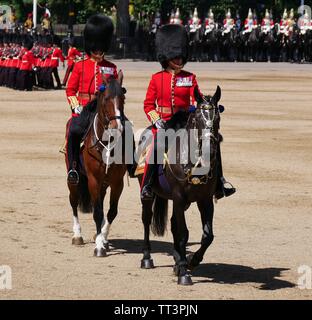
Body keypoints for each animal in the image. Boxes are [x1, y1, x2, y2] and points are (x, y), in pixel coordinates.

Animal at [67, 72, 128, 258]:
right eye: (106, 98)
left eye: (123, 98)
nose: (118, 127)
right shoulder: (93, 179)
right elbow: (98, 212)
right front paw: (100, 246)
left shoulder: (117, 182)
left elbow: (111, 211)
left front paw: (103, 237)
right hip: (74, 180)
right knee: (74, 202)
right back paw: (77, 235)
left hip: (104, 184)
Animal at [138, 86, 223, 286]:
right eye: (198, 118)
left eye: (217, 118)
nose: (211, 149)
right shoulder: (178, 197)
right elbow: (184, 233)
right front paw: (185, 272)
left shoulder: (204, 200)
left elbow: (207, 235)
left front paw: (191, 261)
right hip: (150, 194)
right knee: (146, 219)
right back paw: (147, 258)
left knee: (173, 224)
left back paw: (178, 261)